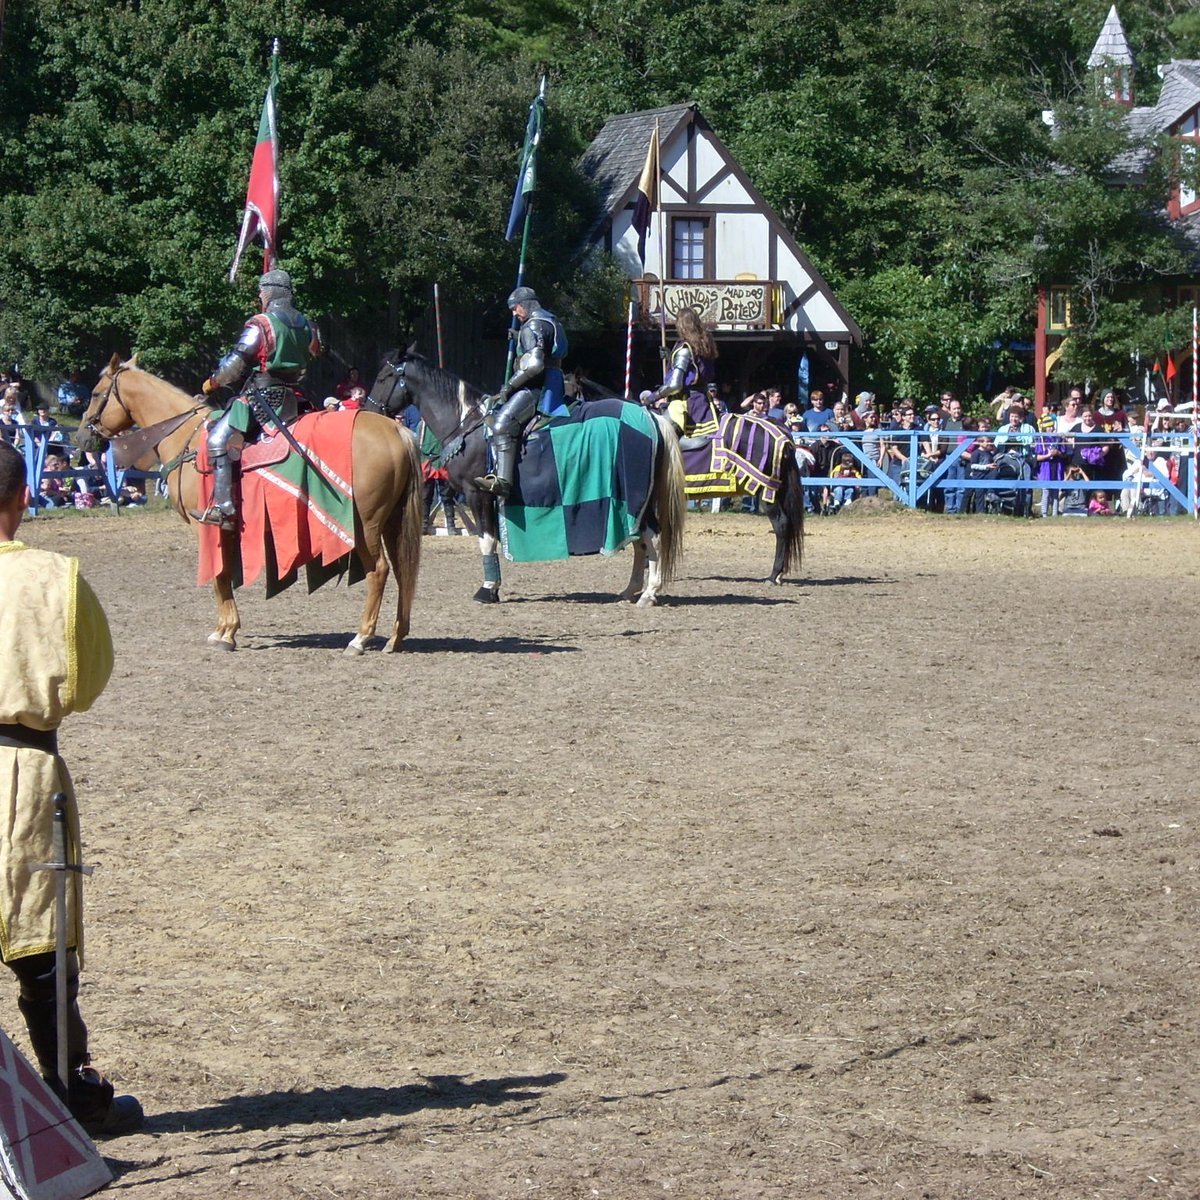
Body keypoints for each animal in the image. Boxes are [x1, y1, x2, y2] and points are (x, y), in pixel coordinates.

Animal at [82, 352, 424, 657]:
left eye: (97, 393)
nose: (84, 434)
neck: (186, 437)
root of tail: (395, 429)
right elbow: (224, 574)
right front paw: (225, 629)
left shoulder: (206, 527)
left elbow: (219, 575)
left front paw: (225, 633)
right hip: (392, 521)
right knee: (402, 569)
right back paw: (396, 637)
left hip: (366, 525)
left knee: (379, 570)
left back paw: (360, 638)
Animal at [364, 350, 686, 604]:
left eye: (382, 377)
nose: (367, 411)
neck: (466, 423)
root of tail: (650, 417)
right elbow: (491, 539)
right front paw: (493, 588)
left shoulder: (477, 494)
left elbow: (486, 540)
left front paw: (487, 589)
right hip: (635, 502)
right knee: (640, 539)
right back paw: (630, 590)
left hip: (633, 497)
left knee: (652, 536)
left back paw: (649, 593)